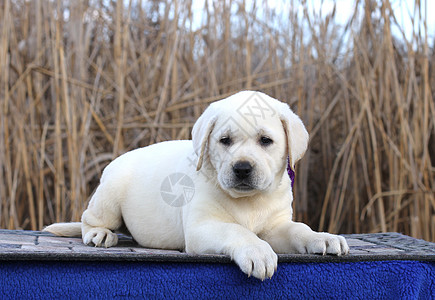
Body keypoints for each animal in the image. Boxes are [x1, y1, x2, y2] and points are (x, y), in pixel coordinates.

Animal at [44, 90, 350, 280]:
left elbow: (299, 229)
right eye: (225, 140)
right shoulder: (202, 227)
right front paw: (258, 251)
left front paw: (322, 237)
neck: (248, 201)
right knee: (89, 218)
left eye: (266, 140)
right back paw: (99, 234)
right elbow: (236, 230)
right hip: (108, 196)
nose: (242, 168)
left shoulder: (276, 226)